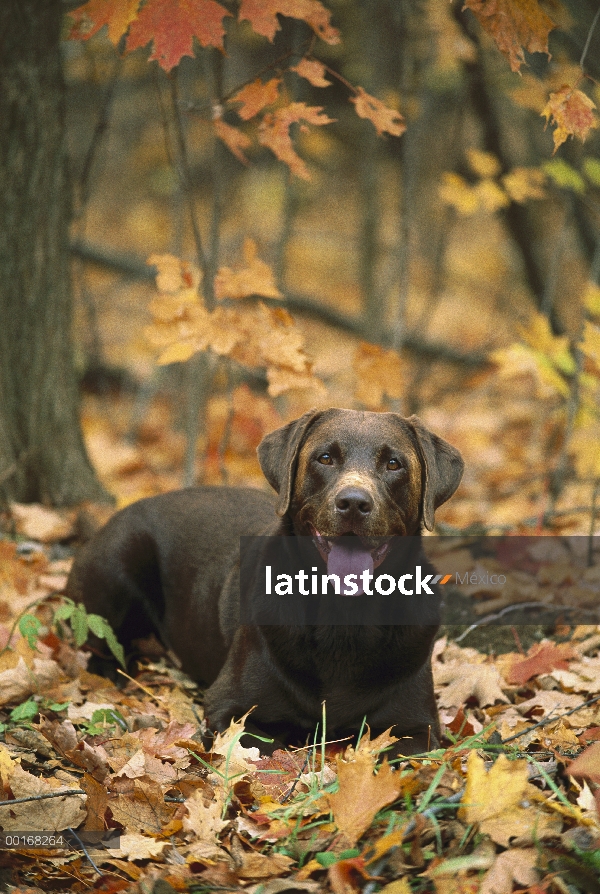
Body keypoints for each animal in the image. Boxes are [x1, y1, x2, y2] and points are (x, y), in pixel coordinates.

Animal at [69, 412, 464, 756]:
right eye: (325, 458)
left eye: (394, 464)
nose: (353, 502)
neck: (343, 620)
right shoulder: (231, 708)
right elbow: (264, 751)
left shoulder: (418, 725)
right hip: (119, 557)